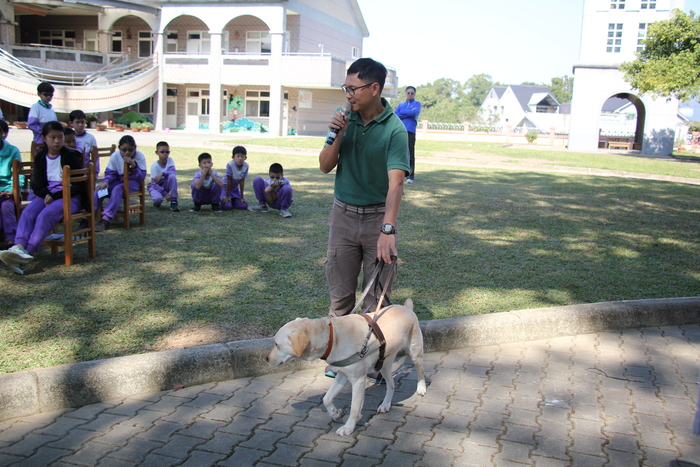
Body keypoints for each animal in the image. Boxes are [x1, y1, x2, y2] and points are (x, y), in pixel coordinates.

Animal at [266, 302, 426, 436]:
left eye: (276, 344)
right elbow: (326, 398)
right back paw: (385, 404)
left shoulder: (358, 381)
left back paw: (421, 388)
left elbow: (354, 409)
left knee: (420, 371)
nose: (266, 359)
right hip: (384, 364)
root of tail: (406, 307)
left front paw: (348, 428)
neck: (333, 337)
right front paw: (335, 413)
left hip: (415, 353)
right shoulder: (342, 375)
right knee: (391, 384)